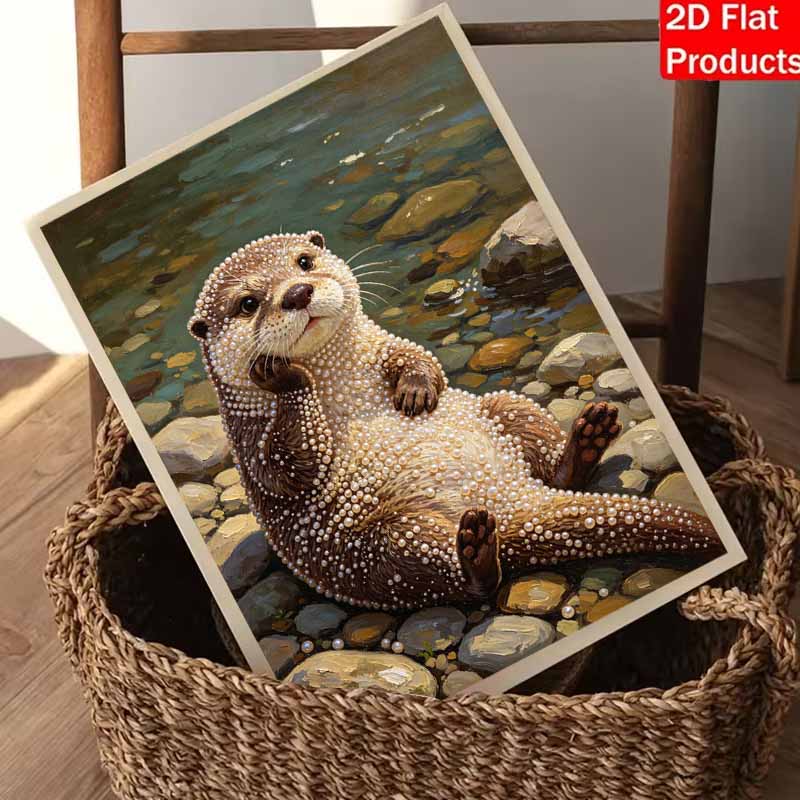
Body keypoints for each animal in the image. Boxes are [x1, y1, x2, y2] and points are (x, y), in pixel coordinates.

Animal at [189, 231, 721, 611]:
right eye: (248, 303)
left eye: (304, 261)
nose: (298, 292)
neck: (341, 385)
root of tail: (511, 501)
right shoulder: (250, 434)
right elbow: (286, 464)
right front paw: (280, 375)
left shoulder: (380, 347)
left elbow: (419, 358)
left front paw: (416, 389)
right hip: (383, 547)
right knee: (452, 578)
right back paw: (477, 550)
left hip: (505, 409)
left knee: (543, 449)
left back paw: (589, 438)